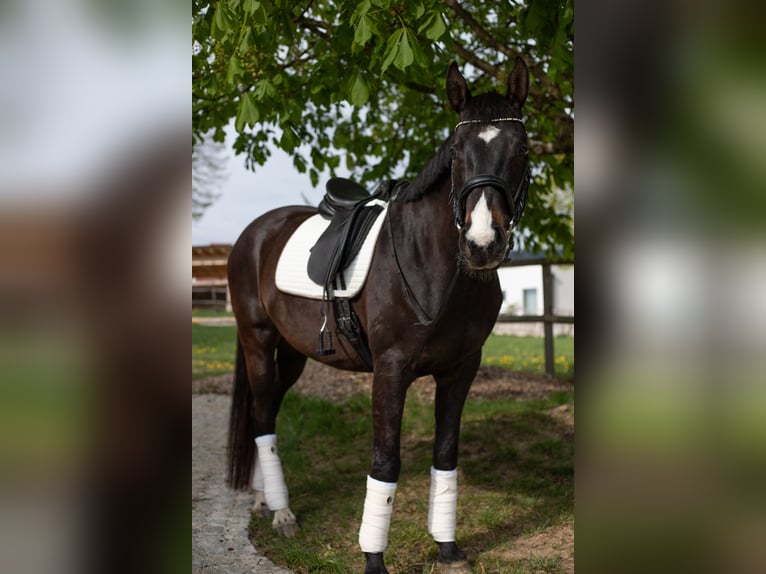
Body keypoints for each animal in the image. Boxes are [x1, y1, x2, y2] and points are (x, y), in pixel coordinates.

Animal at [225, 57, 532, 574]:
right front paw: (373, 558)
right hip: (258, 346)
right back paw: (283, 513)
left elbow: (445, 455)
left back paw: (265, 501)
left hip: (293, 354)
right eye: (456, 152)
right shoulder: (390, 370)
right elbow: (385, 463)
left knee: (265, 412)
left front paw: (447, 547)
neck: (434, 265)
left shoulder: (461, 370)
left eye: (522, 149)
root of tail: (253, 234)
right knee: (264, 417)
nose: (482, 244)